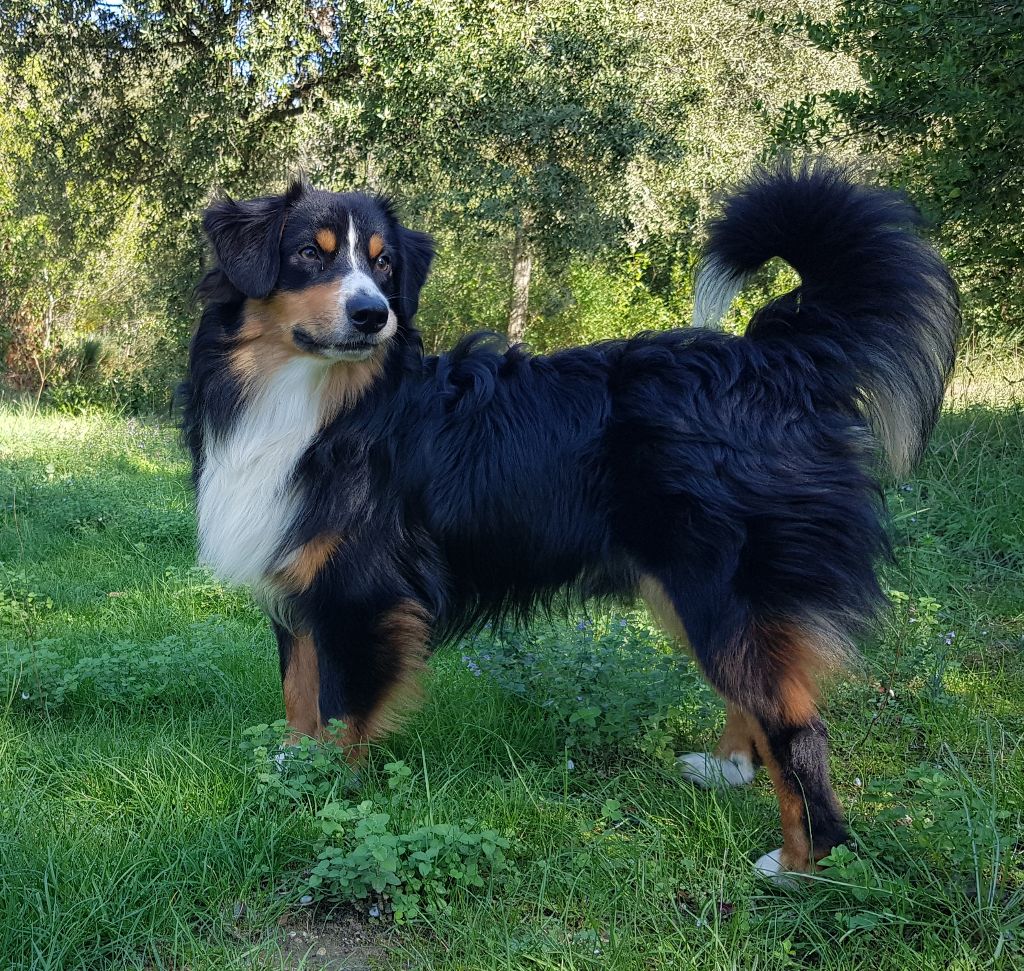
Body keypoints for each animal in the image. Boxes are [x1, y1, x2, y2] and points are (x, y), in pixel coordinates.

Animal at [180, 161, 959, 880]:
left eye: (383, 263)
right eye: (309, 254)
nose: (374, 314)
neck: (319, 401)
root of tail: (776, 359)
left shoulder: (362, 596)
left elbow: (341, 713)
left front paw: (325, 798)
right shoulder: (299, 579)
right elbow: (299, 691)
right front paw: (291, 763)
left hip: (725, 589)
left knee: (800, 729)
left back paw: (801, 864)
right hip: (693, 593)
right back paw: (730, 768)